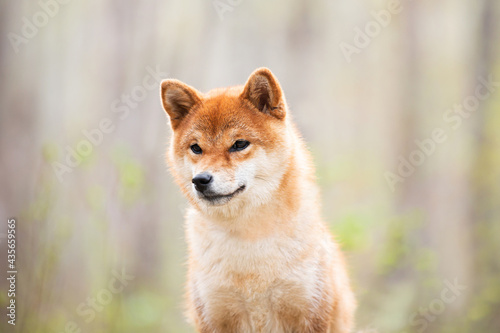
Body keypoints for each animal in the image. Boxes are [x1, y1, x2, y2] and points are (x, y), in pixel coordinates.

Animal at [160, 68, 356, 332]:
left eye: (239, 144)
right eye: (196, 148)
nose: (200, 180)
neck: (249, 243)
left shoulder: (309, 313)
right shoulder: (214, 316)